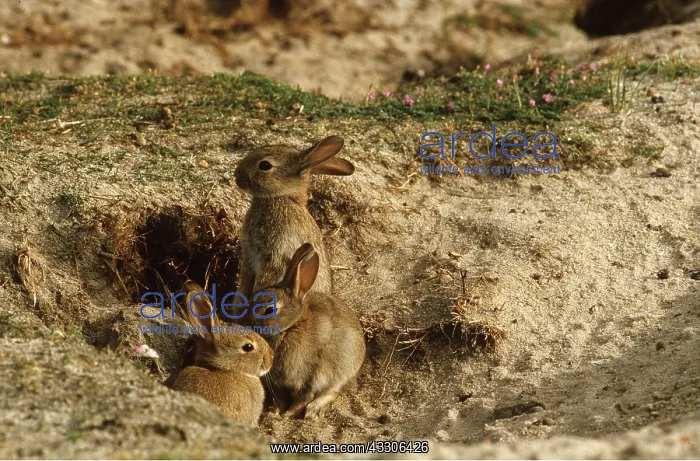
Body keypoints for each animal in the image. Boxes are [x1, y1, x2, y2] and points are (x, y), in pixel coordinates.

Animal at [250, 242, 365, 420]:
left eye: (269, 310)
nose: (247, 323)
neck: (290, 327)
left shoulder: (308, 378)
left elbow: (302, 399)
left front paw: (287, 415)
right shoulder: (280, 384)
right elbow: (280, 398)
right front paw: (274, 412)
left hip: (343, 368)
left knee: (332, 391)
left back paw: (315, 409)